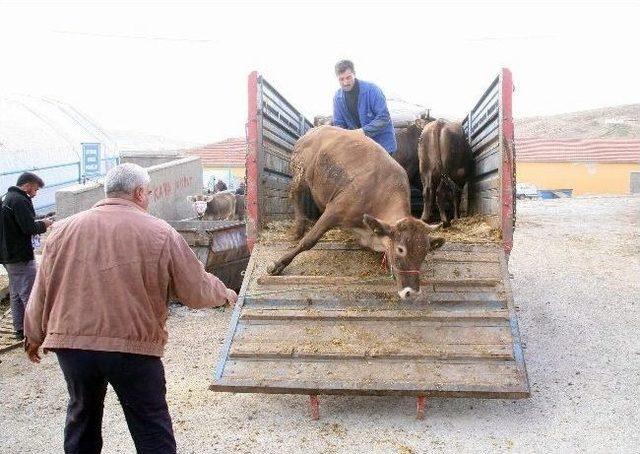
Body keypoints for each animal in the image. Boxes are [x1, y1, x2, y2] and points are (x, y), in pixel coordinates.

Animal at [268, 126, 442, 300]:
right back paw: (298, 229)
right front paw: (278, 264)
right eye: (400, 249)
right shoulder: (334, 210)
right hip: (299, 171)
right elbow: (309, 241)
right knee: (295, 194)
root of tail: (316, 129)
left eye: (425, 251)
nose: (411, 292)